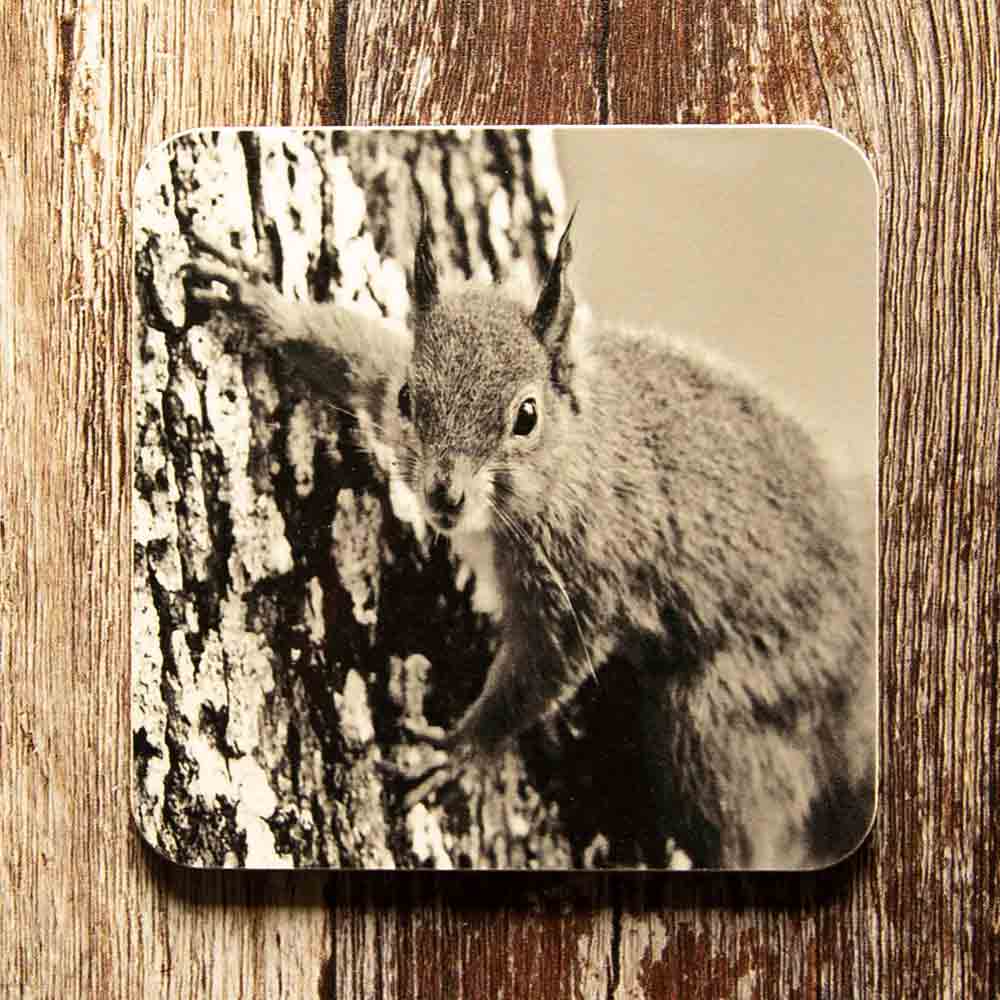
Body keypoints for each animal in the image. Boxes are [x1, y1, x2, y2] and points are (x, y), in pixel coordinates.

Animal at [183, 198, 876, 870]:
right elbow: (356, 353)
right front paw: (262, 302)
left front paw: (460, 749)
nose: (444, 493)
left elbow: (539, 674)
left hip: (736, 703)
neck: (572, 455)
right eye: (409, 398)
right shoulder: (379, 382)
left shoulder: (583, 579)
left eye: (526, 415)